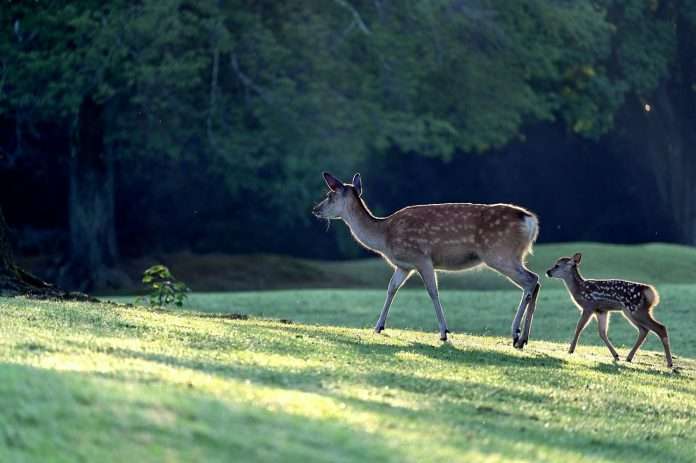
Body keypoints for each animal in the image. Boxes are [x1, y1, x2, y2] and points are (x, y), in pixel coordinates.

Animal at [312, 172, 540, 347]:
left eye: (329, 195)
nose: (315, 210)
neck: (384, 236)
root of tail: (530, 221)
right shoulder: (404, 266)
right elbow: (391, 288)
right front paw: (378, 327)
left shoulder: (421, 257)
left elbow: (432, 291)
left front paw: (444, 332)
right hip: (513, 255)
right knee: (535, 281)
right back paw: (524, 338)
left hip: (499, 253)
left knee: (531, 280)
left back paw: (516, 334)